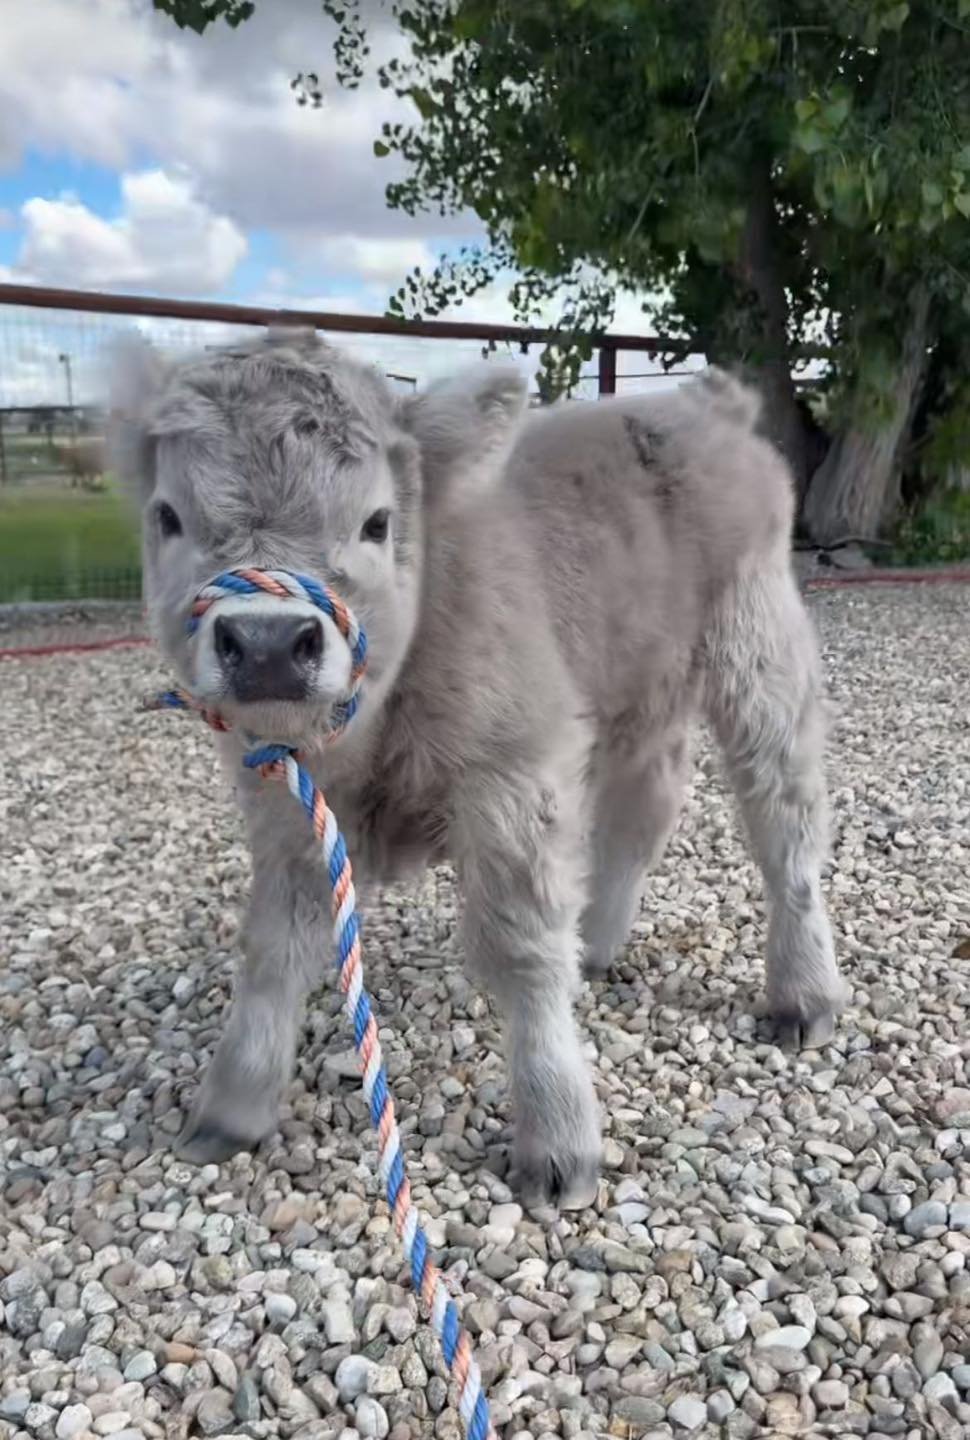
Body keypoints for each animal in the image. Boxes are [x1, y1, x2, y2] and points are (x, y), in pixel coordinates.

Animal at [111, 331, 847, 1210]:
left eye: (377, 521)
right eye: (167, 516)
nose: (266, 643)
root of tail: (698, 403)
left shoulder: (513, 778)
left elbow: (520, 950)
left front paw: (558, 1140)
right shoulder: (289, 805)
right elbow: (273, 948)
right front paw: (233, 1105)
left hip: (757, 643)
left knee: (784, 821)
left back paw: (803, 993)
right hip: (638, 680)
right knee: (647, 800)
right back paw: (597, 940)